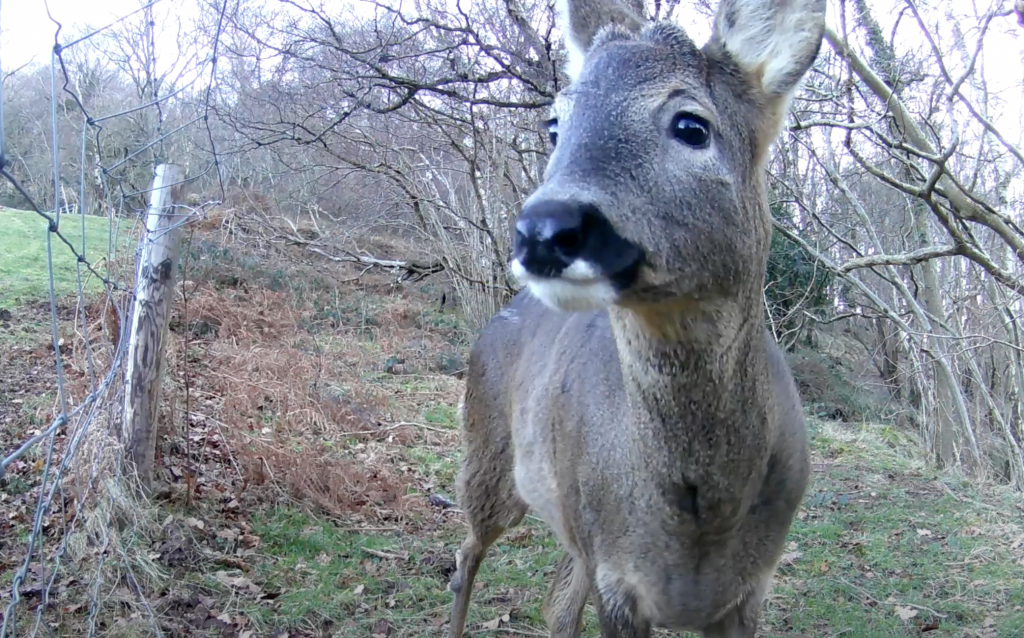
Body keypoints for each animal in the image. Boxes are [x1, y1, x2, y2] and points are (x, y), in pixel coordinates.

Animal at [446, 0, 823, 634]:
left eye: (692, 126)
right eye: (555, 124)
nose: (543, 230)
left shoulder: (750, 589)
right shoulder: (616, 580)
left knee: (556, 598)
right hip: (487, 452)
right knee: (465, 555)